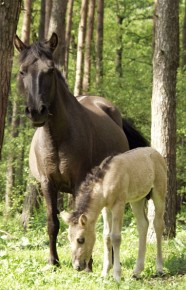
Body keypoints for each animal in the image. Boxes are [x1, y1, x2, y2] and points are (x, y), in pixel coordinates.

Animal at [14, 33, 148, 270]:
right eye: (22, 71)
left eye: (50, 70)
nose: (37, 111)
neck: (57, 138)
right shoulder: (47, 184)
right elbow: (53, 222)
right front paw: (54, 262)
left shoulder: (79, 182)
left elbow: (85, 220)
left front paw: (87, 264)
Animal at [62, 147, 167, 280]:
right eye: (69, 238)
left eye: (81, 239)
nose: (77, 266)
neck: (105, 183)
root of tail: (157, 153)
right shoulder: (106, 208)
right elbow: (106, 236)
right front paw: (104, 273)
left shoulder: (119, 205)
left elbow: (115, 237)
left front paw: (117, 275)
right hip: (137, 200)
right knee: (143, 224)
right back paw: (137, 271)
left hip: (159, 193)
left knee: (158, 224)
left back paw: (159, 268)